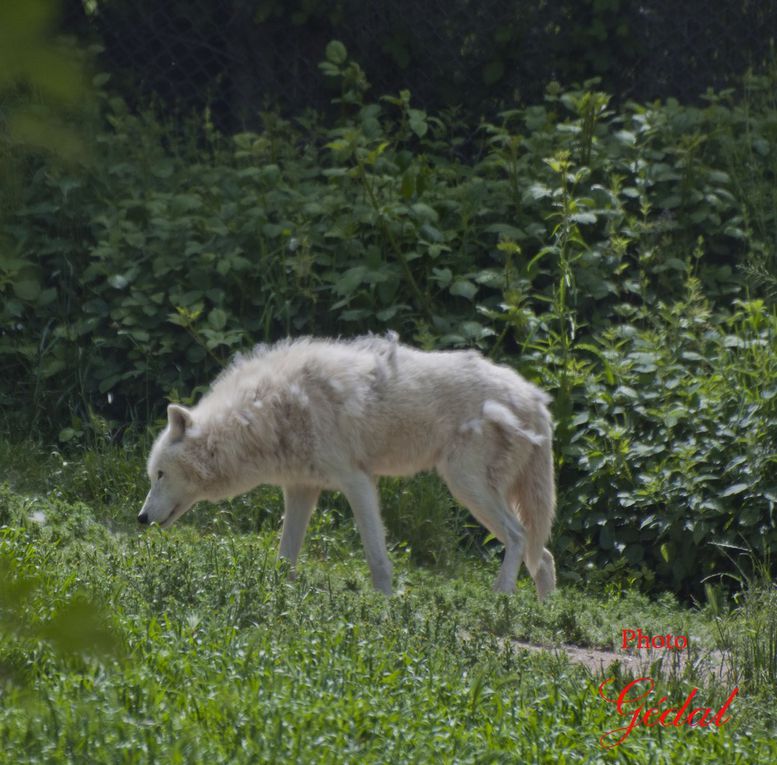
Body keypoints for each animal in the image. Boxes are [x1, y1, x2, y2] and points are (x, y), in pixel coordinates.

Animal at [136, 332, 556, 596]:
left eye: (160, 475)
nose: (140, 518)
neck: (269, 411)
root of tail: (536, 399)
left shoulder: (357, 481)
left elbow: (376, 556)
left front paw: (385, 603)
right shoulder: (301, 490)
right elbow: (285, 555)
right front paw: (273, 591)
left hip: (465, 486)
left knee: (519, 536)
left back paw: (500, 597)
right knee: (543, 555)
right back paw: (541, 614)